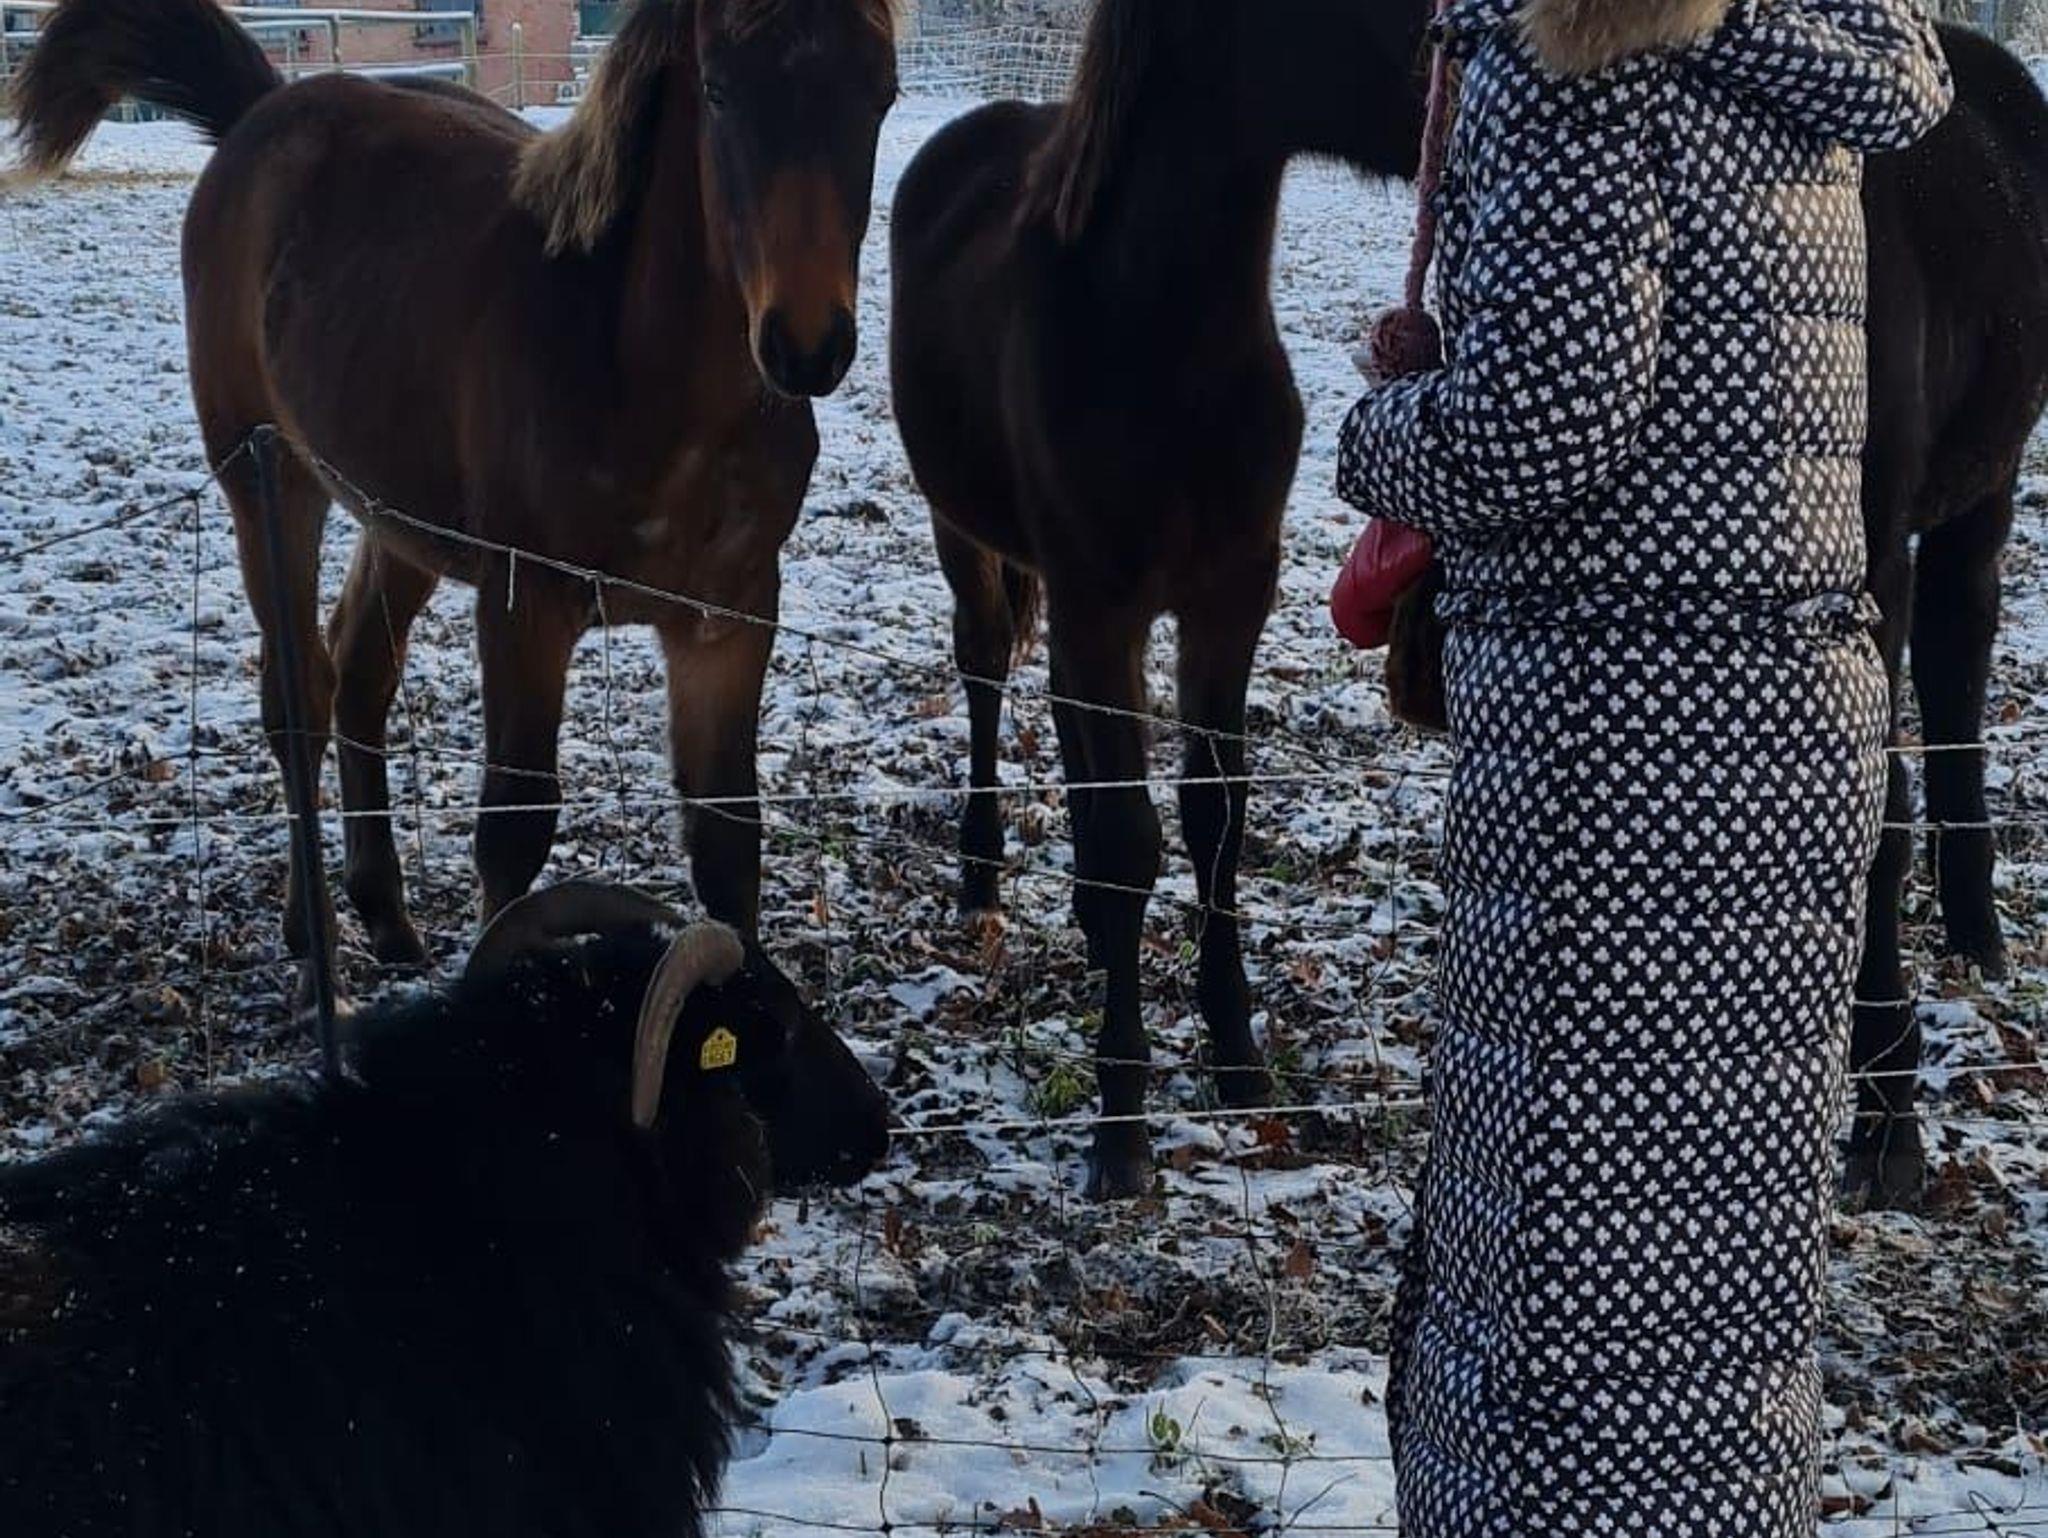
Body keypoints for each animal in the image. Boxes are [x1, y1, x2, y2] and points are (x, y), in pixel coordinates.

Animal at [11, 0, 901, 1023]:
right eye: (718, 90)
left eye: (882, 93)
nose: (807, 344)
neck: (633, 364)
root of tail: (262, 112)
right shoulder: (527, 605)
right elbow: (514, 824)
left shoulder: (730, 619)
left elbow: (726, 836)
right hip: (268, 483)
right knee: (298, 695)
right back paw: (316, 955)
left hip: (399, 518)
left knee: (360, 670)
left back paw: (385, 918)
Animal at [889, 0, 1430, 1198]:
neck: (1162, 342)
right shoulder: (1105, 606)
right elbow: (1135, 839)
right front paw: (1121, 1121)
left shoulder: (1229, 602)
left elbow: (1212, 820)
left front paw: (1236, 1058)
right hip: (970, 539)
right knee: (988, 675)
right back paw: (983, 877)